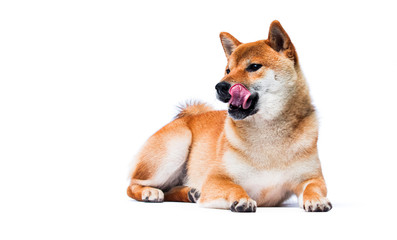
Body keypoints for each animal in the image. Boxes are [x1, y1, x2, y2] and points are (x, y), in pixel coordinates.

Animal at [127, 20, 332, 212]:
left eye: (254, 67)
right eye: (228, 70)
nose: (220, 86)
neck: (267, 133)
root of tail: (185, 118)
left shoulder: (311, 178)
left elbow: (313, 188)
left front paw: (317, 200)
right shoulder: (217, 179)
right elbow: (235, 188)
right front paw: (242, 199)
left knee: (169, 189)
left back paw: (190, 192)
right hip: (175, 146)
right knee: (133, 185)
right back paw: (150, 192)